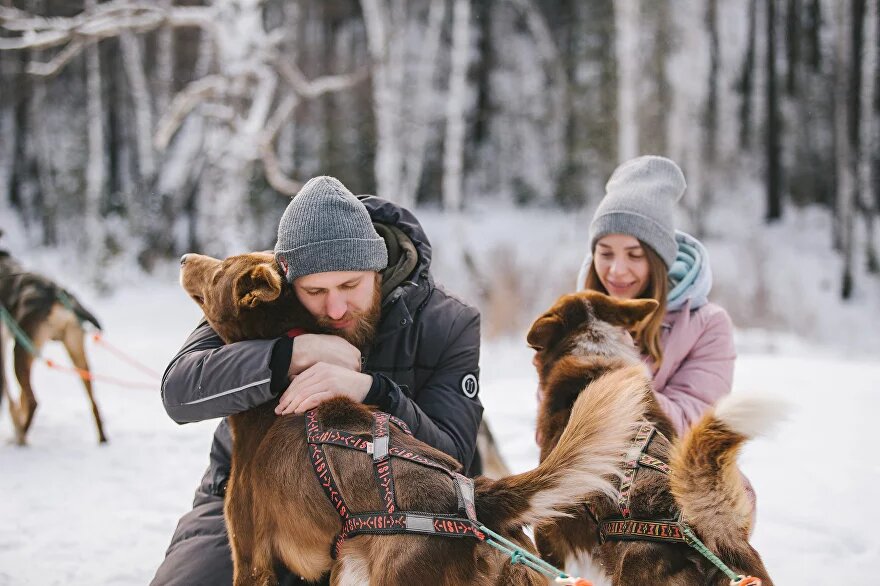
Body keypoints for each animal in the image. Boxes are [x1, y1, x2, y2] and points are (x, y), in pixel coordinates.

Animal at [0, 245, 106, 442]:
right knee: (94, 401)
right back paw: (103, 439)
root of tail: (56, 294)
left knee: (33, 401)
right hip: (75, 350)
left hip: (20, 351)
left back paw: (21, 438)